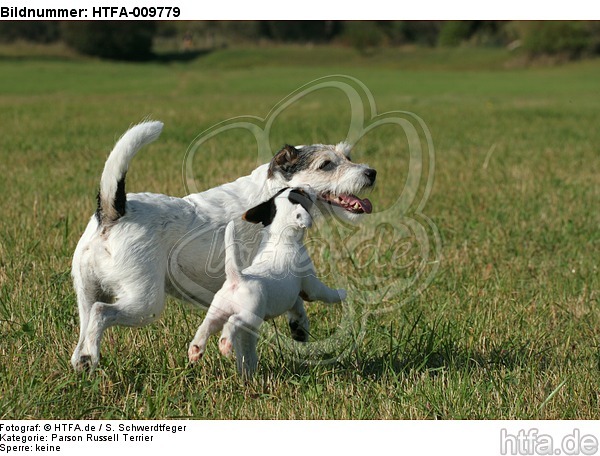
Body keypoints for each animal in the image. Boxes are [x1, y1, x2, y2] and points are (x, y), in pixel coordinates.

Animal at [188, 187, 346, 376]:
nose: (309, 187)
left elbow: (296, 306)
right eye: (302, 193)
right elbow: (325, 294)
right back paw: (225, 343)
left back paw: (196, 349)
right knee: (233, 321)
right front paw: (342, 293)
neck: (281, 238)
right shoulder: (311, 286)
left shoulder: (293, 296)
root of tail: (237, 279)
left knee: (206, 326)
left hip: (218, 311)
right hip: (250, 314)